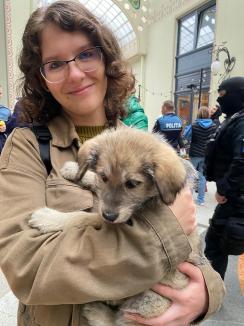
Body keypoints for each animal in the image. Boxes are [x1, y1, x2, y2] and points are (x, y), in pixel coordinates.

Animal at [29, 126, 203, 326]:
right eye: (104, 176)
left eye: (132, 184)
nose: (109, 216)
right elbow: (94, 182)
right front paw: (74, 169)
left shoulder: (119, 222)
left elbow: (82, 217)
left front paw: (48, 218)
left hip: (149, 301)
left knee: (121, 319)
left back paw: (97, 311)